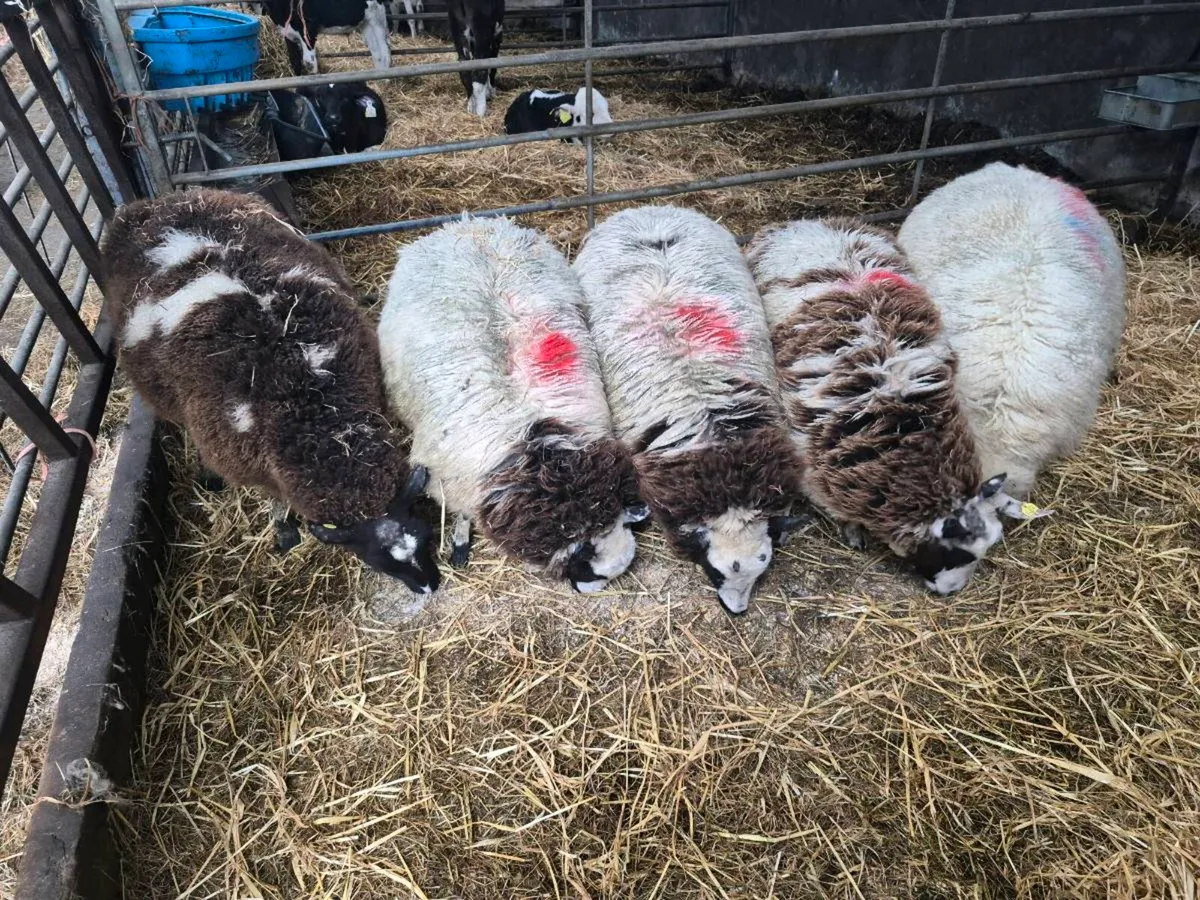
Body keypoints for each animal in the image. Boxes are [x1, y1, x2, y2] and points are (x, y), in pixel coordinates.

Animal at [101, 188, 440, 594]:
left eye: (426, 535)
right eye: (378, 564)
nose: (430, 586)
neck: (311, 401)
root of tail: (157, 203)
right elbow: (275, 497)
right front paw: (284, 529)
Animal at [377, 215, 649, 592]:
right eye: (586, 567)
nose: (588, 589)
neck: (531, 442)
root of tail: (469, 224)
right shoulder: (450, 483)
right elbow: (462, 514)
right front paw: (460, 542)